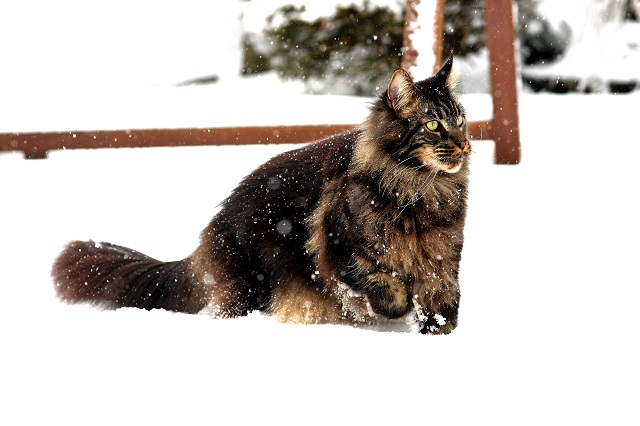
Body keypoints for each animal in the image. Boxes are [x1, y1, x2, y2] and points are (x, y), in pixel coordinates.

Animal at [52, 55, 470, 336]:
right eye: (434, 125)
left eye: (461, 120)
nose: (465, 144)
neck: (422, 191)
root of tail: (213, 226)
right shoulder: (343, 253)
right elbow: (387, 287)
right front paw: (399, 308)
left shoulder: (442, 262)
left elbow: (444, 305)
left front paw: (438, 333)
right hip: (252, 282)